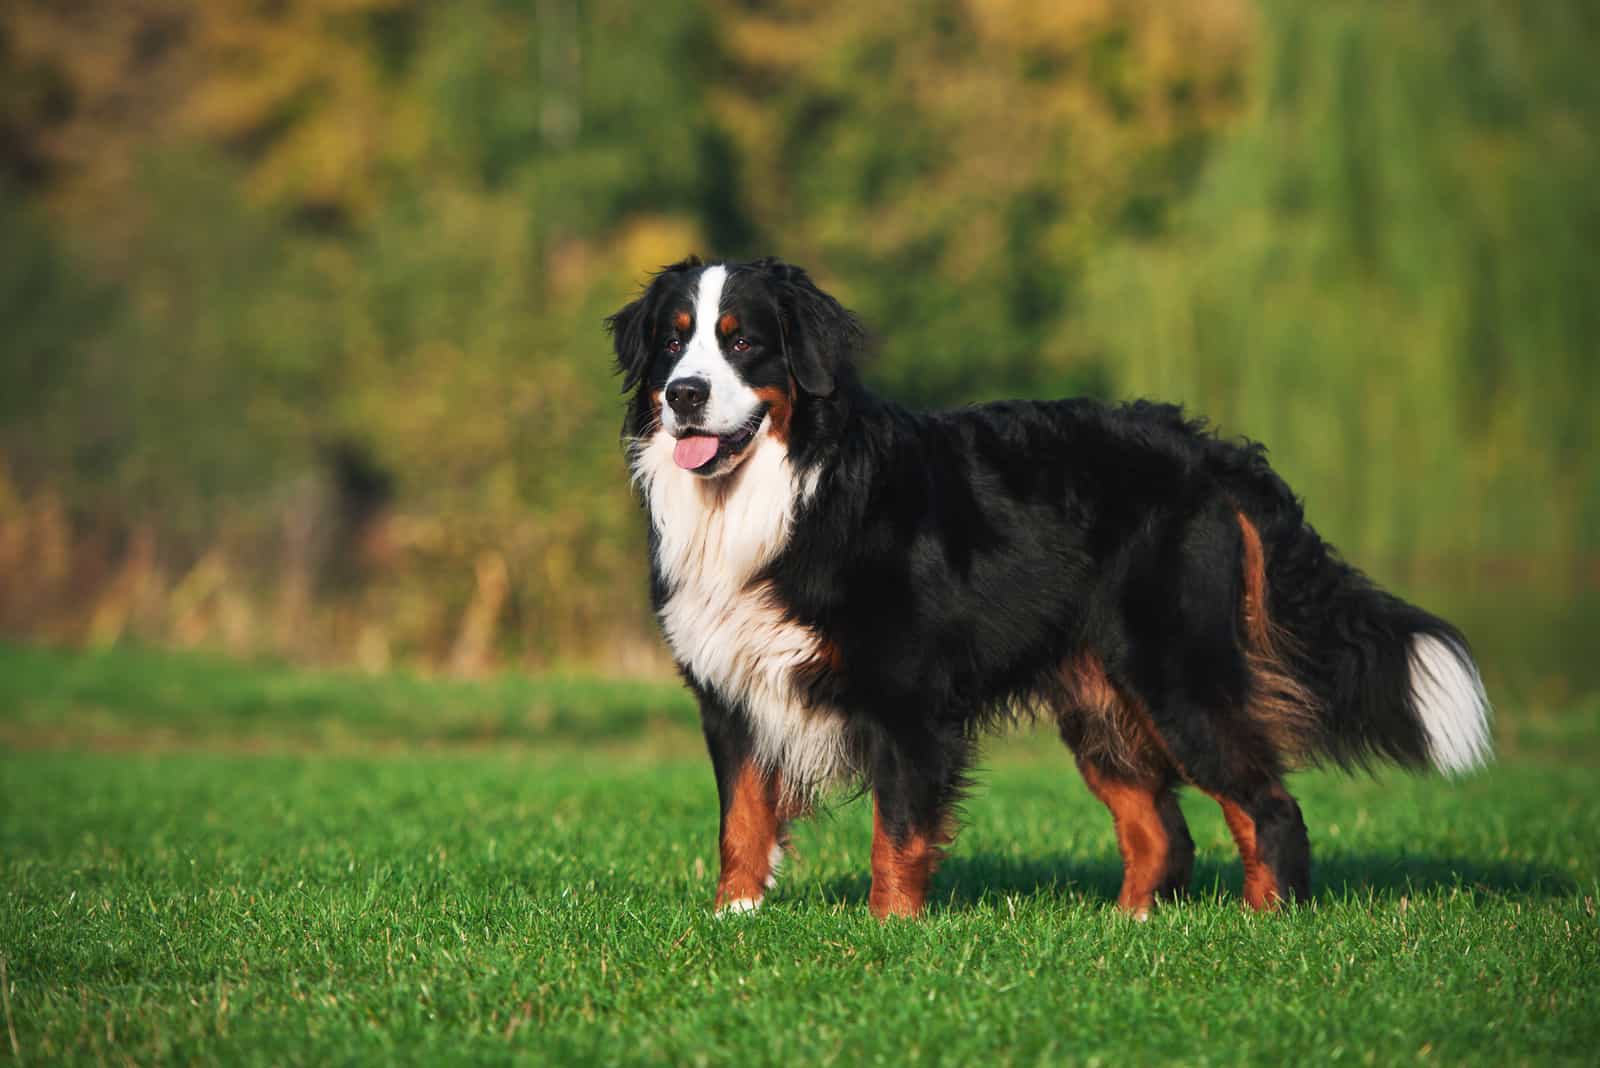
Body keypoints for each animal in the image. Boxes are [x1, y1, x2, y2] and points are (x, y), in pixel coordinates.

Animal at [604, 255, 1491, 920]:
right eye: (673, 344)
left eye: (743, 341)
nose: (684, 396)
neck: (774, 497)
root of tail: (1217, 456)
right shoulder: (730, 688)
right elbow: (743, 819)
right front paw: (735, 917)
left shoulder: (906, 700)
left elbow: (898, 832)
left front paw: (890, 931)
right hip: (1100, 698)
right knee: (1161, 830)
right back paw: (1132, 928)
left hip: (1176, 676)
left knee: (1269, 806)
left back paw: (1264, 922)